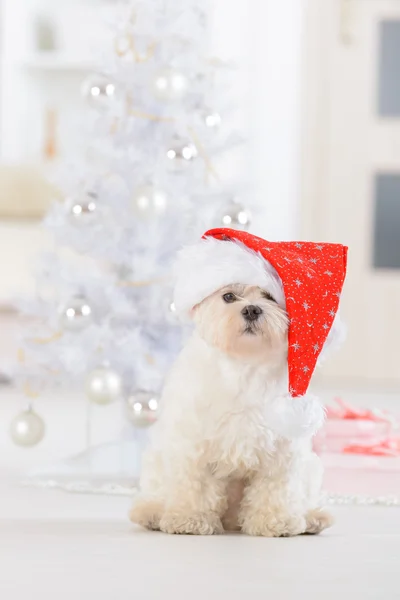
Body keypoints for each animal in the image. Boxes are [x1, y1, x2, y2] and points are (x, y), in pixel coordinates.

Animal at [129, 232, 346, 536]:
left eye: (270, 297)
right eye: (229, 296)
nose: (252, 309)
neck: (244, 365)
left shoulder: (281, 451)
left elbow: (274, 489)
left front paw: (274, 521)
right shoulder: (194, 444)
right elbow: (195, 486)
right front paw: (190, 519)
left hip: (311, 468)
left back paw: (313, 516)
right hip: (158, 460)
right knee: (158, 490)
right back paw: (152, 512)